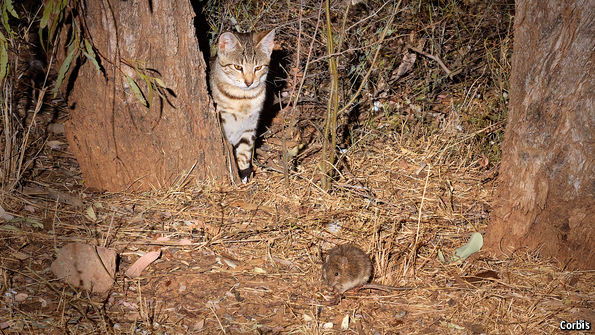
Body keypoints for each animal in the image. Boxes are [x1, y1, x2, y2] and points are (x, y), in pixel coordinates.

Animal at [210, 30, 274, 184]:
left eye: (258, 68)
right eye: (238, 67)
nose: (249, 82)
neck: (243, 99)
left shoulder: (249, 127)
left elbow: (244, 153)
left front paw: (244, 175)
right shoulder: (222, 122)